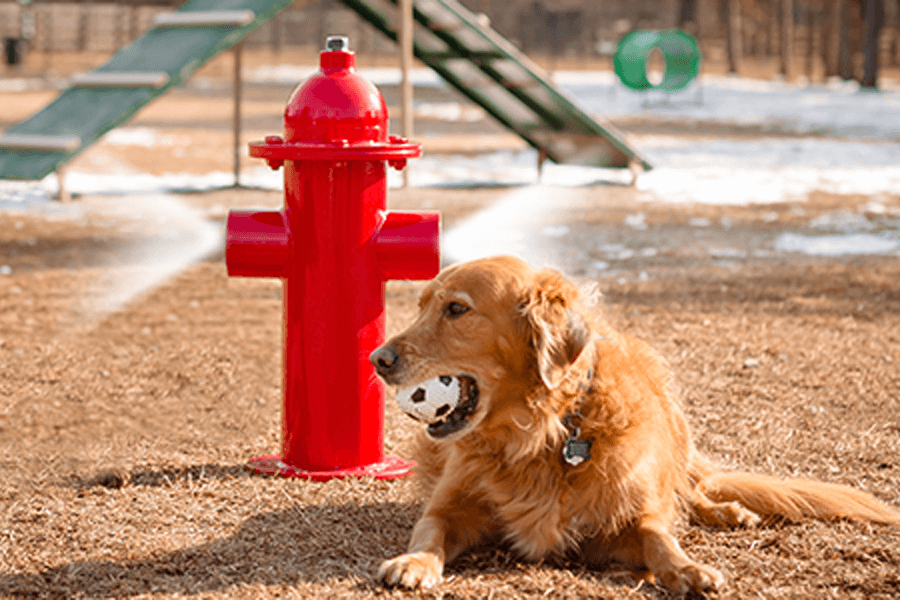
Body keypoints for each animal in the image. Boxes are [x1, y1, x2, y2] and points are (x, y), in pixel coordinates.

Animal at [368, 254, 900, 596]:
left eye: (457, 309)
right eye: (421, 306)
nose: (377, 359)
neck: (541, 434)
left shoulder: (625, 520)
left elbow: (658, 536)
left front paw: (688, 569)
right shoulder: (449, 507)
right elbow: (429, 532)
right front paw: (412, 563)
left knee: (690, 493)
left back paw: (726, 511)